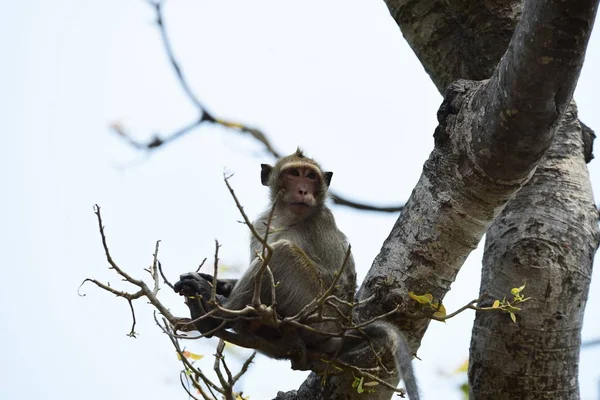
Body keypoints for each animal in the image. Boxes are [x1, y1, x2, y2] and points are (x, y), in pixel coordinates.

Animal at [171, 148, 420, 398]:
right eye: (293, 174)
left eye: (310, 176)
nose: (303, 190)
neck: (287, 217)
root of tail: (336, 334)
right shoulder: (261, 224)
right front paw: (217, 282)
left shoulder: (322, 222)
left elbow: (336, 279)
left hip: (314, 313)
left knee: (283, 251)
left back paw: (216, 314)